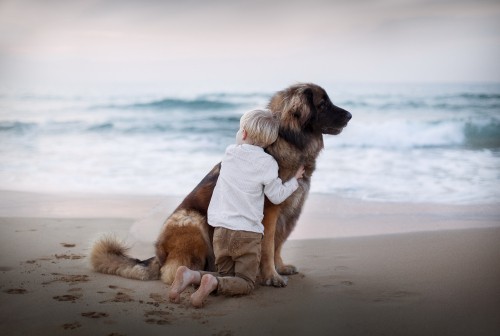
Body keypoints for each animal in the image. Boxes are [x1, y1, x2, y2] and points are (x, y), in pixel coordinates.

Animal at [92, 82, 354, 288]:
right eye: (322, 104)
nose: (350, 115)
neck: (290, 139)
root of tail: (158, 255)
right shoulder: (270, 211)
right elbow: (269, 246)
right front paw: (271, 276)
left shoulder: (289, 213)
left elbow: (278, 244)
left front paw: (280, 267)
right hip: (192, 220)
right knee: (172, 271)